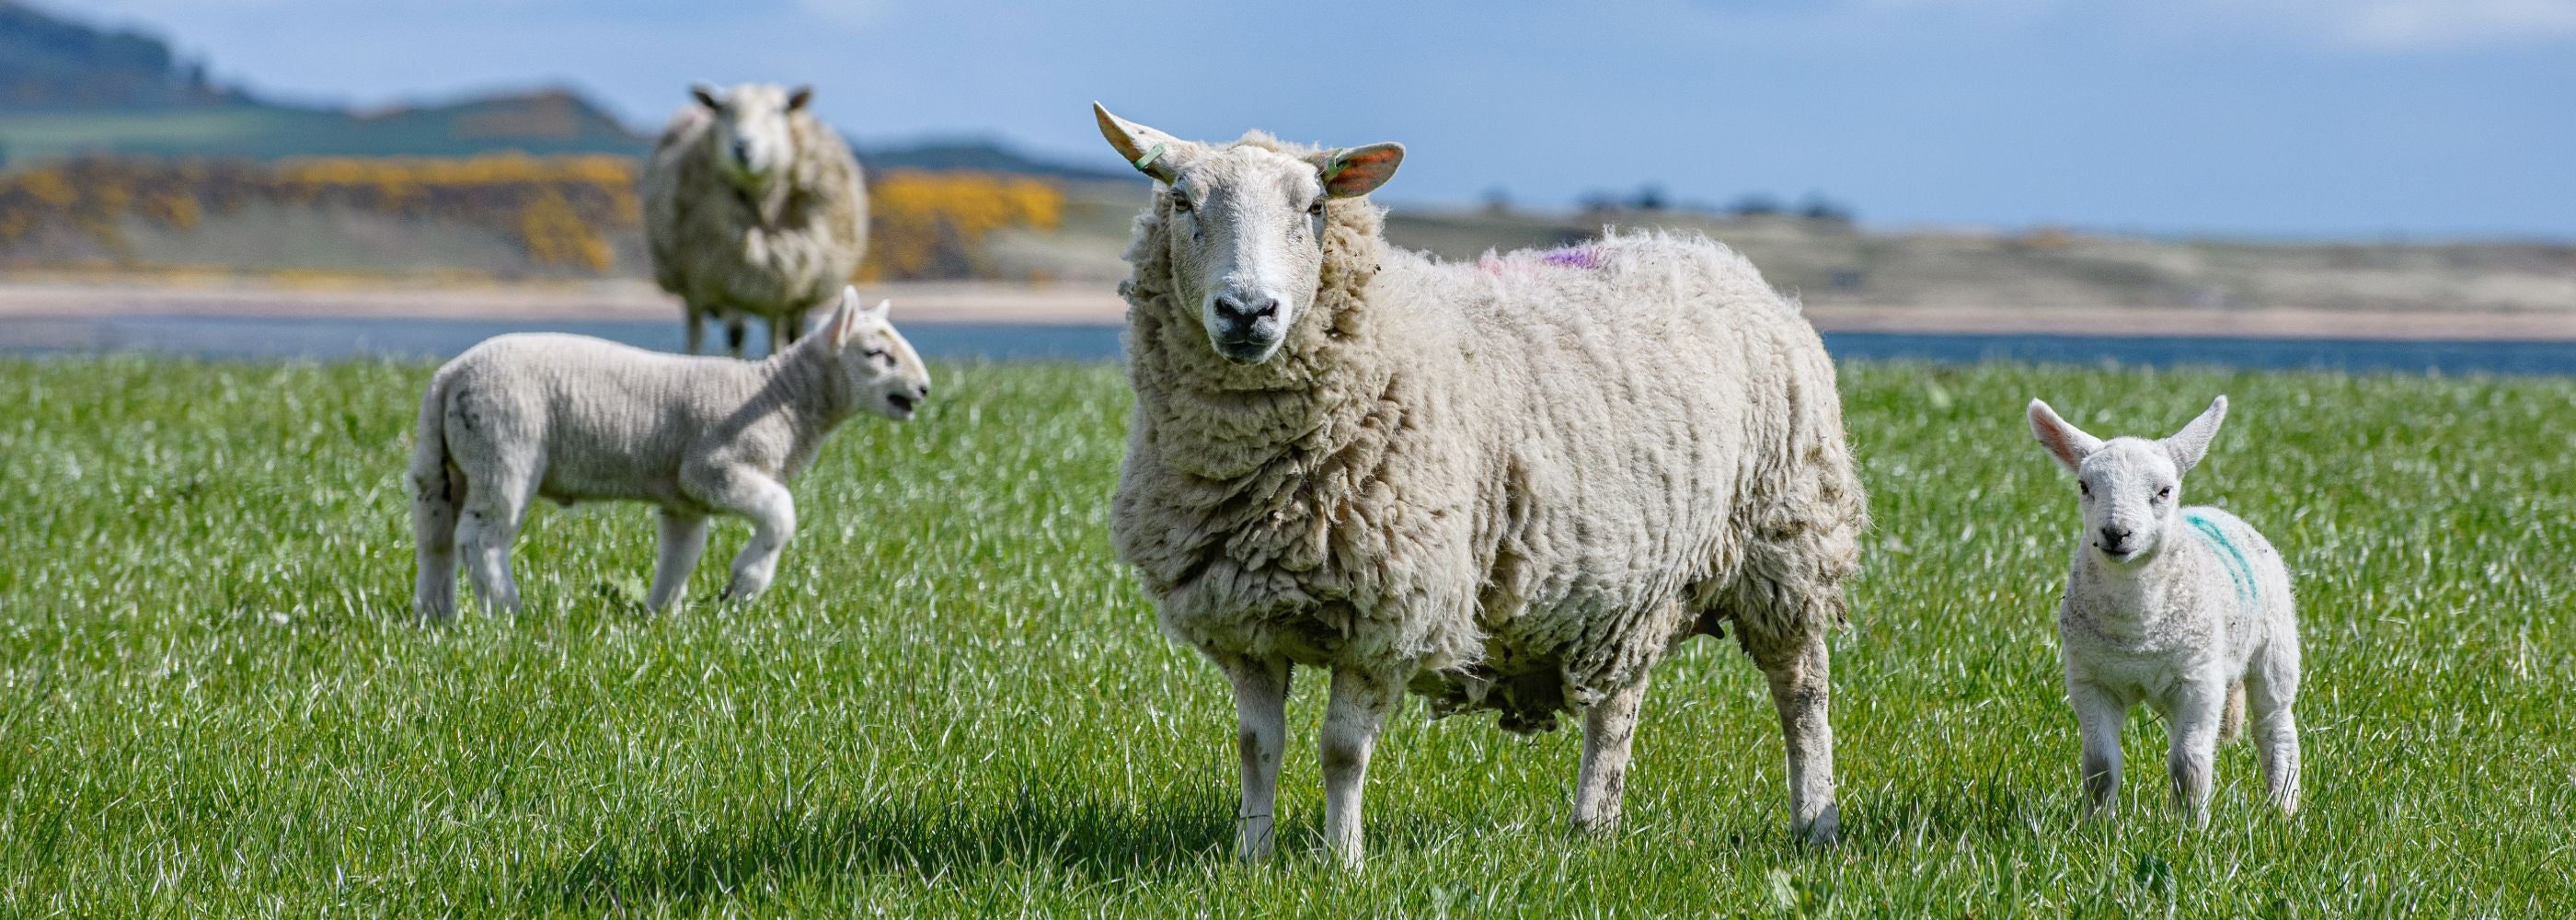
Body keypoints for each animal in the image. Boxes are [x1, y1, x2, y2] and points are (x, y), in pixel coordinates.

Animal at [410, 286, 930, 619]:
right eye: (876, 354)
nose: (923, 390)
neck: (782, 396)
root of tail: (449, 375)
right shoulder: (713, 467)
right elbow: (781, 512)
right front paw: (743, 587)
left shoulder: (685, 498)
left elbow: (681, 553)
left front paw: (660, 615)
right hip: (504, 446)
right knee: (480, 536)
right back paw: (507, 613)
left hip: (442, 460)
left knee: (435, 537)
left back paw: (436, 616)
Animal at [642, 82, 869, 357]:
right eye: (722, 109)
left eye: (778, 110)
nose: (743, 147)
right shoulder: (721, 277)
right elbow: (735, 333)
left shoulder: (780, 283)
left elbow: (775, 335)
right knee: (703, 330)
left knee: (791, 329)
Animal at [1092, 104, 1868, 866]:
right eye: (1182, 200)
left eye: (1314, 206)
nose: (1248, 312)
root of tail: (1718, 259)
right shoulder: (1244, 617)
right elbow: (1258, 747)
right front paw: (1251, 861)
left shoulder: (1391, 614)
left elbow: (1342, 751)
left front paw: (1341, 864)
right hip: (1638, 583)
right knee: (1617, 706)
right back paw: (1594, 830)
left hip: (1787, 543)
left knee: (1802, 692)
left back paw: (1817, 826)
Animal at [2027, 396, 2302, 823]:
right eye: (2084, 486)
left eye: (2164, 491)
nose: (2115, 533)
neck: (2137, 633)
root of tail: (2217, 511)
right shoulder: (2091, 680)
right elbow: (2100, 765)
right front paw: (2096, 826)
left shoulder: (2199, 682)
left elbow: (2188, 764)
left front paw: (2192, 829)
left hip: (2274, 649)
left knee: (2276, 729)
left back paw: (2282, 812)